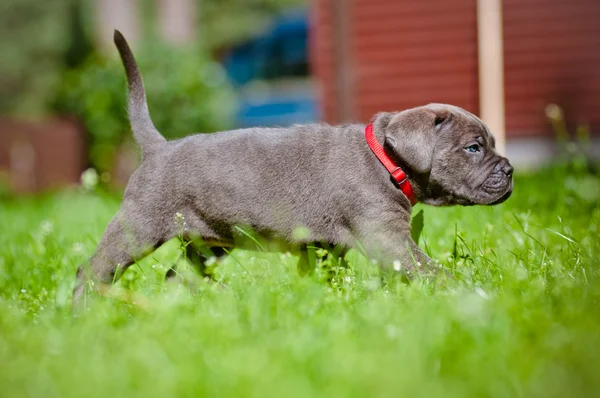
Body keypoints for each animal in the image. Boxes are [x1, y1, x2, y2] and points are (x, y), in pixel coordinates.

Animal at [71, 31, 510, 304]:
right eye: (473, 147)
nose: (508, 171)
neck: (386, 159)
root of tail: (157, 148)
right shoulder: (387, 238)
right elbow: (428, 269)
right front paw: (467, 292)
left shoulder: (326, 247)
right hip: (139, 227)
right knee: (91, 271)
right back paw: (84, 315)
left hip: (209, 243)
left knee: (178, 276)